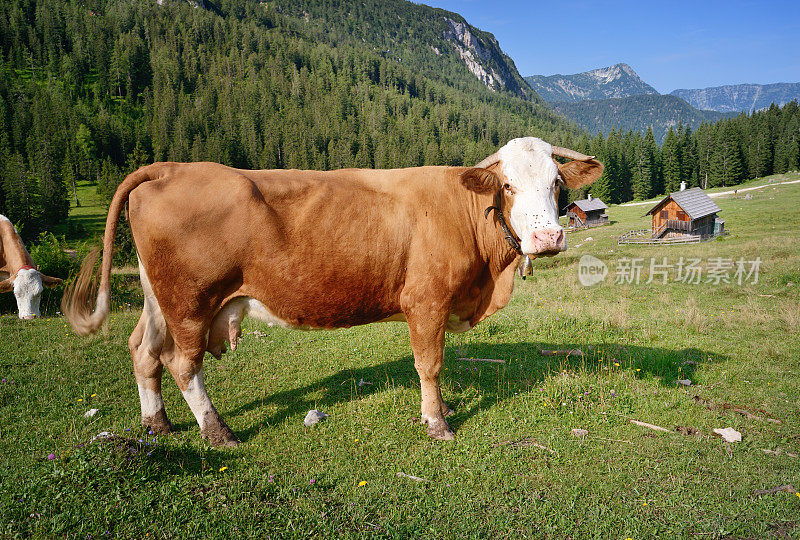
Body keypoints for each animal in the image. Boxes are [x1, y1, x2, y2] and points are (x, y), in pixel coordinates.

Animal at [64, 137, 600, 446]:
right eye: (507, 185)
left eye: (557, 181)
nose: (547, 238)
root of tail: (172, 167)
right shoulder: (425, 302)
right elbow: (430, 365)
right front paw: (437, 423)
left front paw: (443, 409)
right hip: (190, 303)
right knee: (181, 364)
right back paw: (218, 432)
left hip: (159, 300)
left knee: (143, 351)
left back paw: (157, 423)